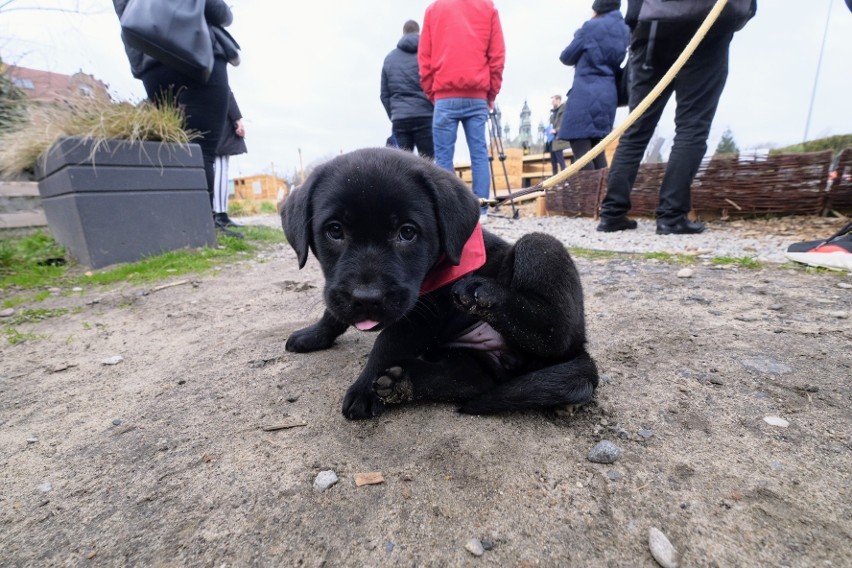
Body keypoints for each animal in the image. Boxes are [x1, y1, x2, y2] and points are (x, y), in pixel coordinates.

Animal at [282, 149, 600, 420]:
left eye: (407, 232)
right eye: (335, 230)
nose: (367, 298)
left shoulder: (426, 311)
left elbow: (388, 341)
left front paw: (363, 388)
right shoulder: (338, 288)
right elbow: (333, 311)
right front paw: (314, 335)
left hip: (541, 250)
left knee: (554, 331)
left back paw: (483, 294)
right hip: (472, 359)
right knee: (472, 381)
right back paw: (403, 382)